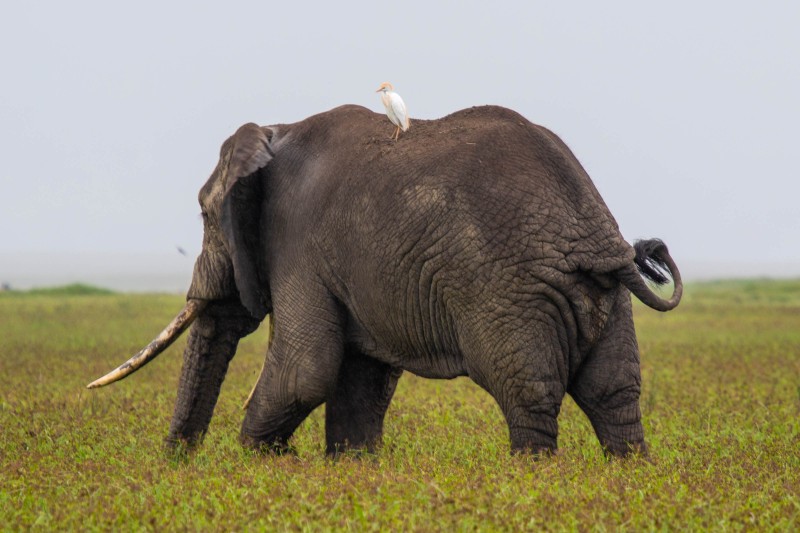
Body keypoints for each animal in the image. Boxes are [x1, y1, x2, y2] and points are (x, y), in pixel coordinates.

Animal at [89, 104, 680, 458]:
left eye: (205, 215)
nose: (180, 467)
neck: (276, 129)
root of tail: (595, 232)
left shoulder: (297, 244)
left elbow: (305, 370)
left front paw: (263, 469)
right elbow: (358, 382)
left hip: (508, 293)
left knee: (526, 391)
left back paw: (532, 484)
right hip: (602, 297)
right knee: (614, 393)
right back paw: (626, 478)